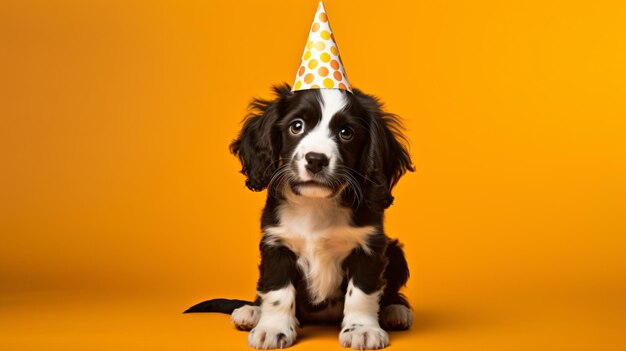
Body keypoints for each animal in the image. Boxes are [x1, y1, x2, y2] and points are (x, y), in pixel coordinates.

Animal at [183, 84, 412, 350]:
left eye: (346, 133)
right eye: (297, 126)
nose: (316, 160)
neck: (315, 205)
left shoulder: (369, 246)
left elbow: (361, 293)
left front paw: (362, 329)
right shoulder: (276, 244)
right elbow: (277, 291)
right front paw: (273, 328)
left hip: (395, 252)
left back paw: (394, 310)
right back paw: (251, 312)